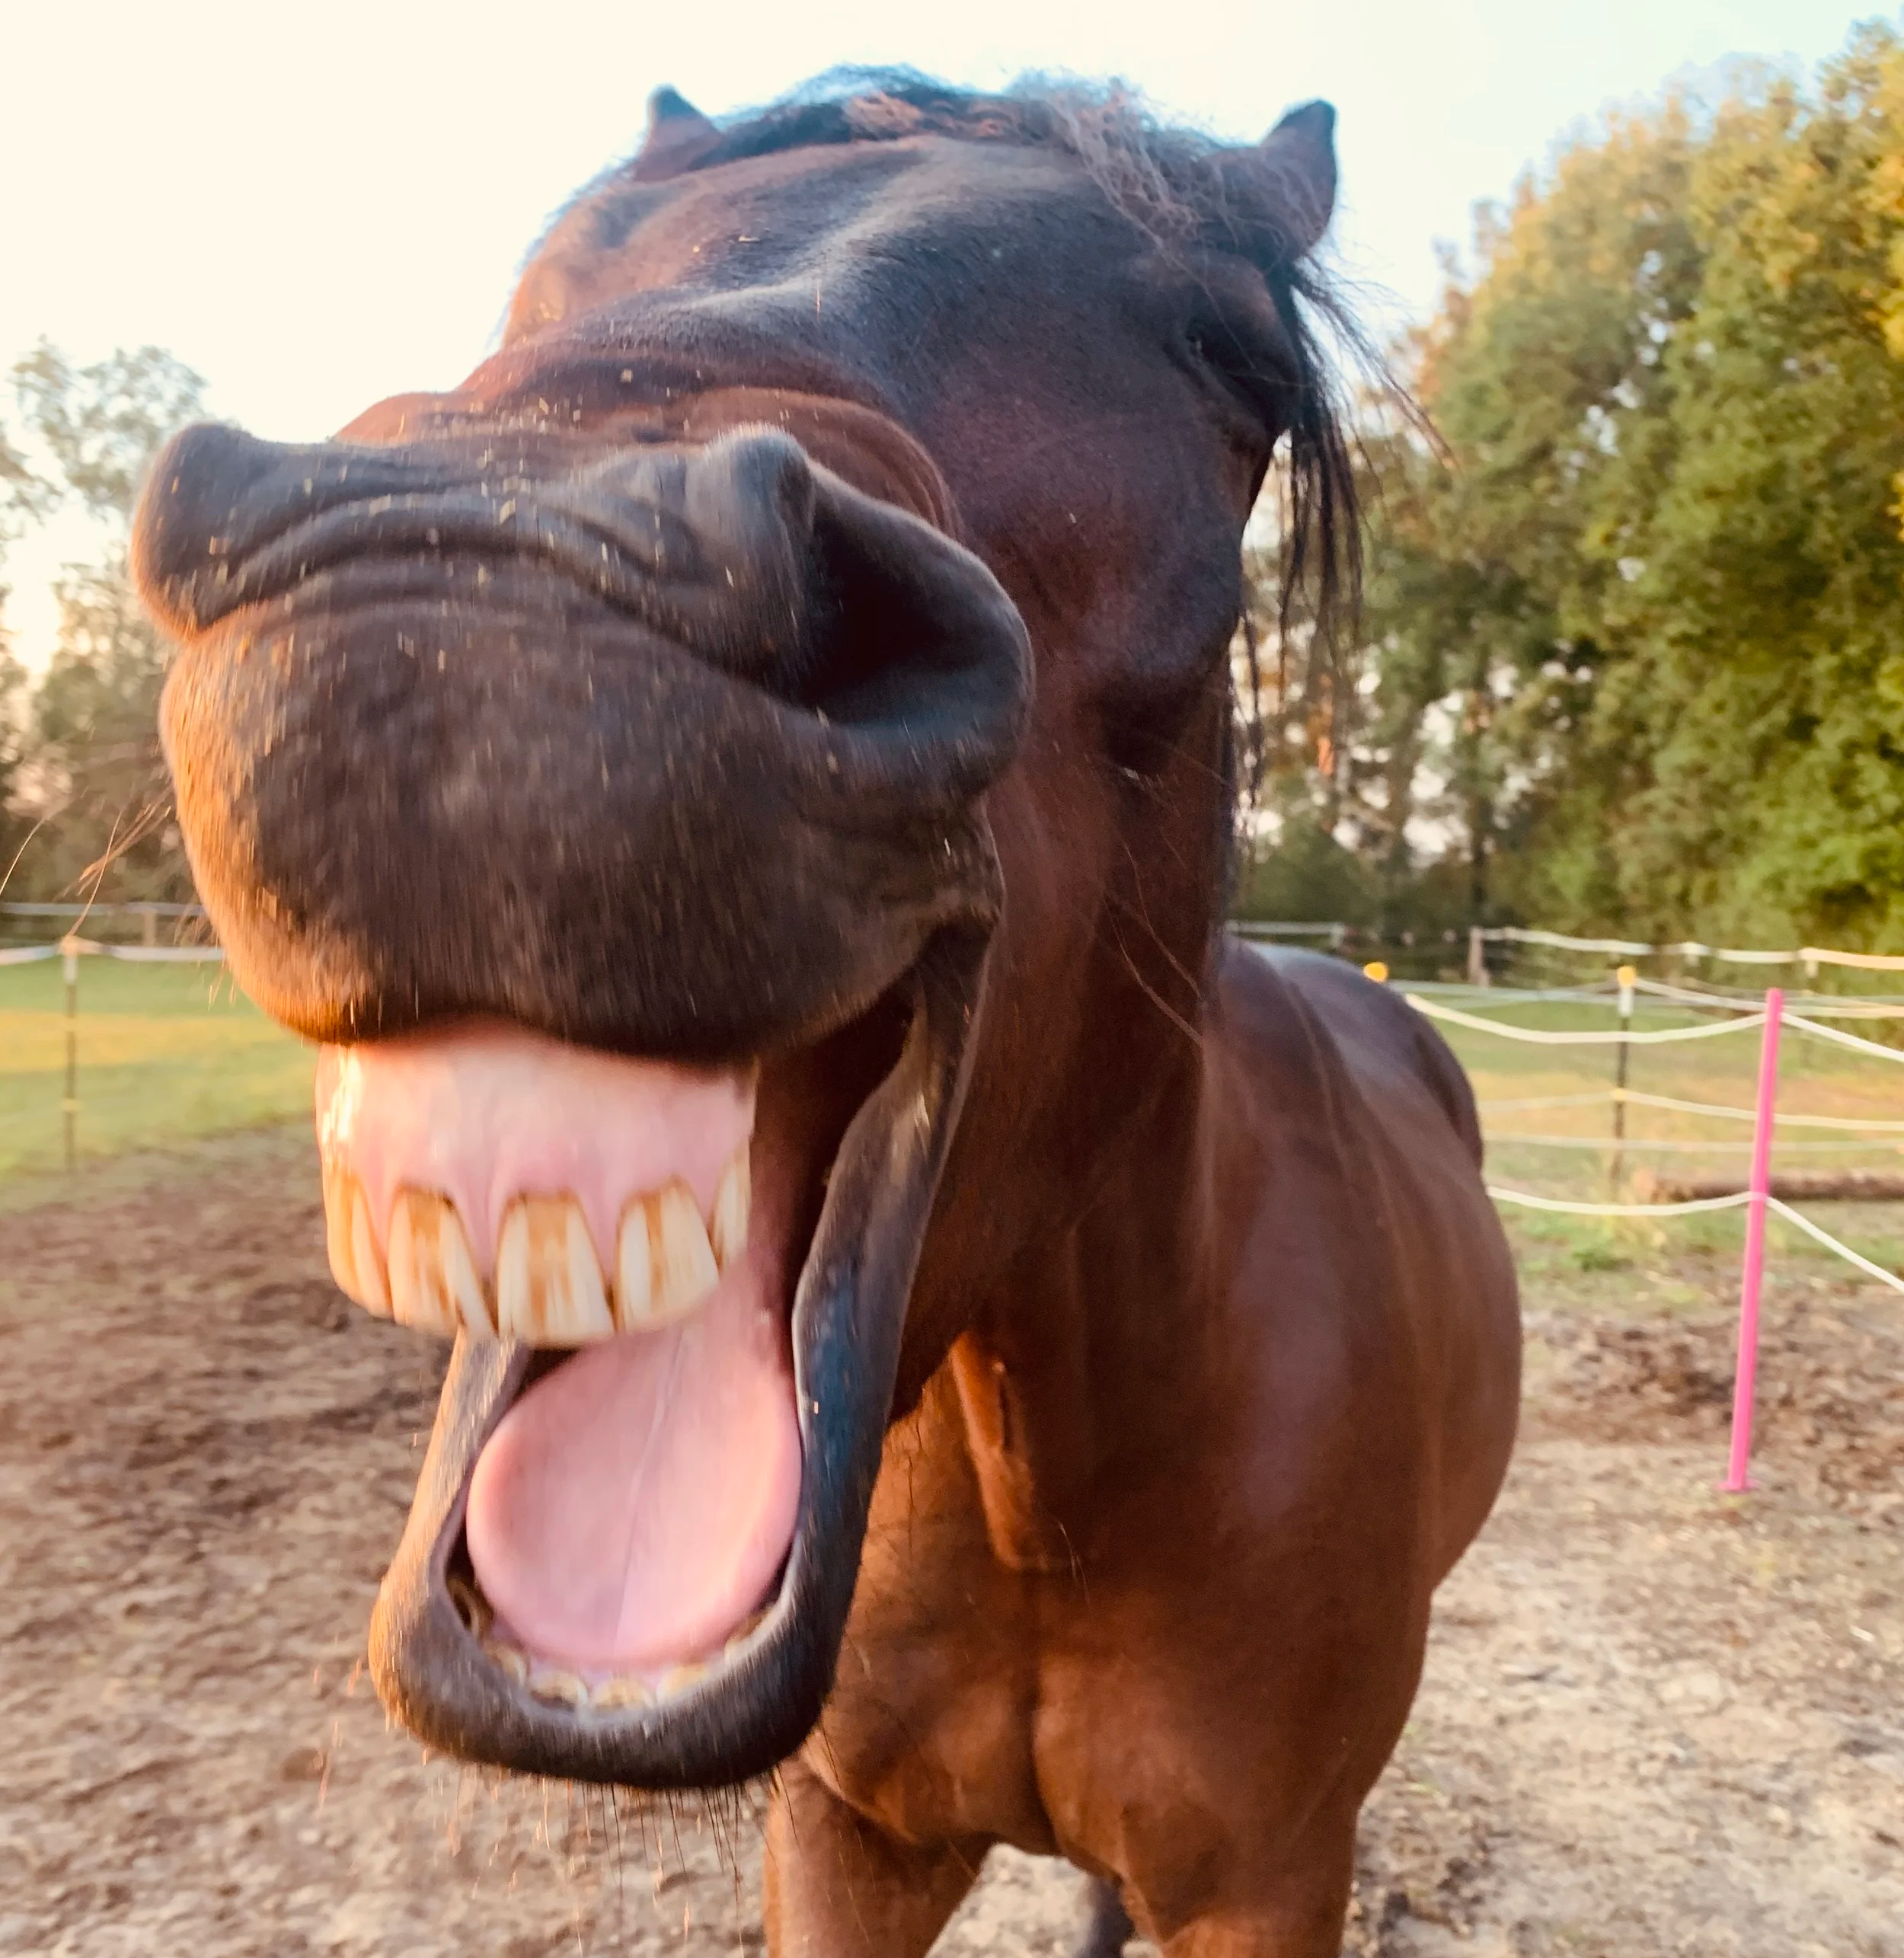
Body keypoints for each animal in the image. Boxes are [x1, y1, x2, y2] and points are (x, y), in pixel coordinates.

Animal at [132, 74, 1520, 1957]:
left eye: (1226, 349)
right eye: (546, 271)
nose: (471, 581)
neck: (1037, 1481)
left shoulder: (1276, 1879)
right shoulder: (844, 1832)